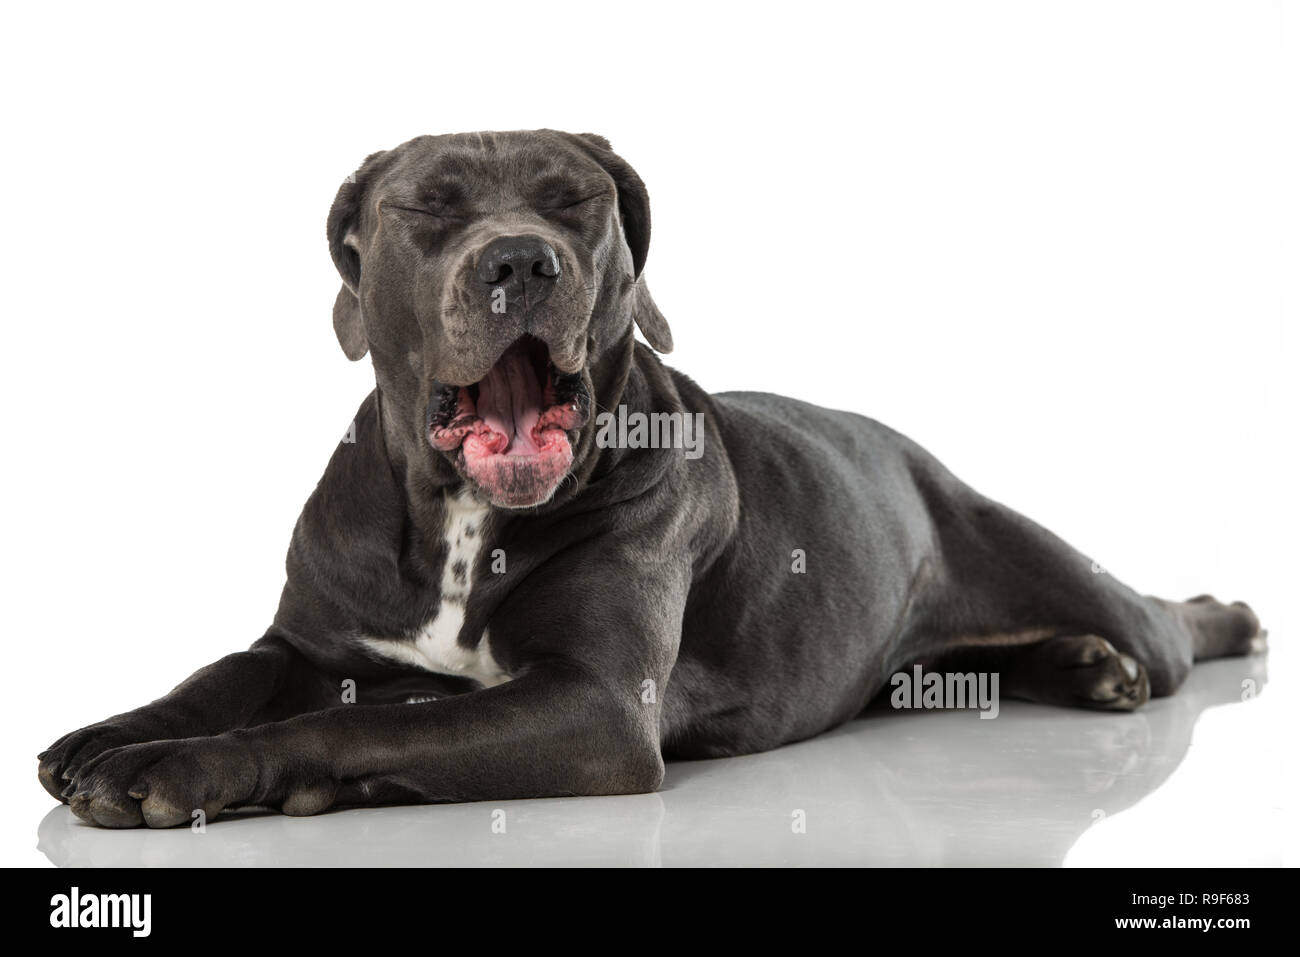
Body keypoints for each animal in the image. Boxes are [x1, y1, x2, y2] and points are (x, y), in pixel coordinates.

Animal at [38, 130, 1258, 826]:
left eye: (572, 198)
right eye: (429, 206)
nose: (520, 259)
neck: (460, 518)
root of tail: (914, 452)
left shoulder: (592, 707)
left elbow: (357, 727)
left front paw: (199, 769)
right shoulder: (309, 640)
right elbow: (222, 675)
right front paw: (112, 732)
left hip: (1043, 558)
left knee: (1159, 620)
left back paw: (1212, 620)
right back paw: (1080, 667)